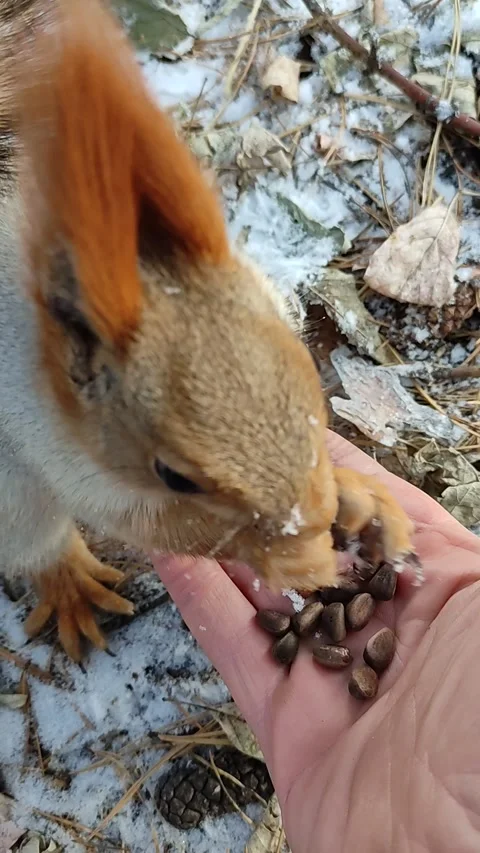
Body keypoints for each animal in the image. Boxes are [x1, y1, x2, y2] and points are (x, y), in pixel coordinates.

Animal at [0, 0, 416, 661]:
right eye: (173, 475)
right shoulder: (51, 441)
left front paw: (361, 499)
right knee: (35, 538)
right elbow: (168, 528)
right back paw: (68, 583)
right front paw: (285, 554)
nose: (307, 517)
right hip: (13, 489)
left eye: (308, 369)